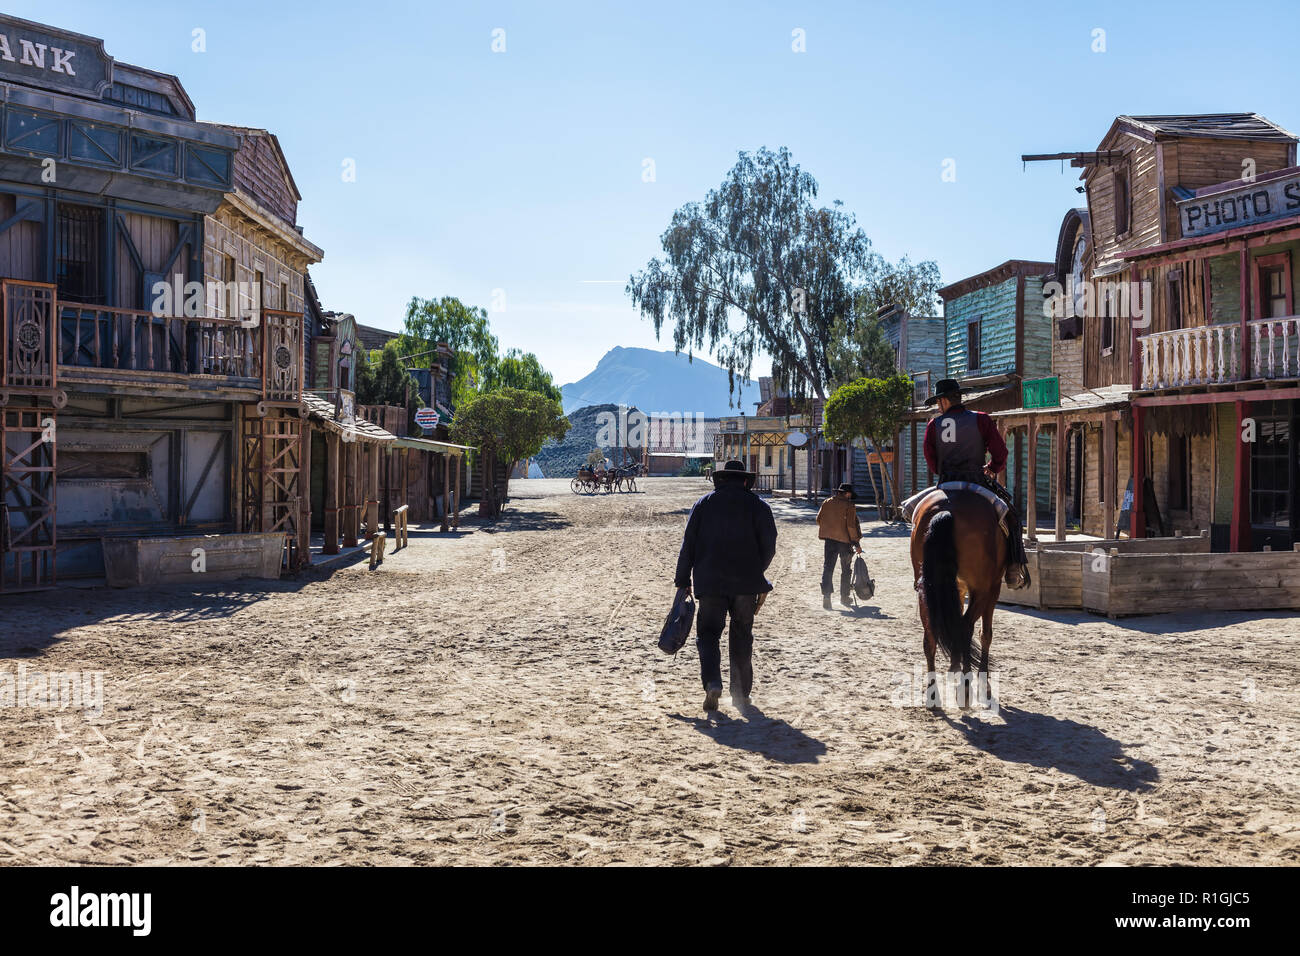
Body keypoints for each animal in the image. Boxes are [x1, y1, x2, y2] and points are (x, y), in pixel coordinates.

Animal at [909, 489, 1008, 707]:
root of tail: (947, 510)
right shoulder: (993, 589)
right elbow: (985, 634)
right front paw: (983, 681)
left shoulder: (958, 590)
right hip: (982, 590)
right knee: (965, 628)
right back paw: (965, 687)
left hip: (926, 590)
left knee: (931, 635)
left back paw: (933, 694)